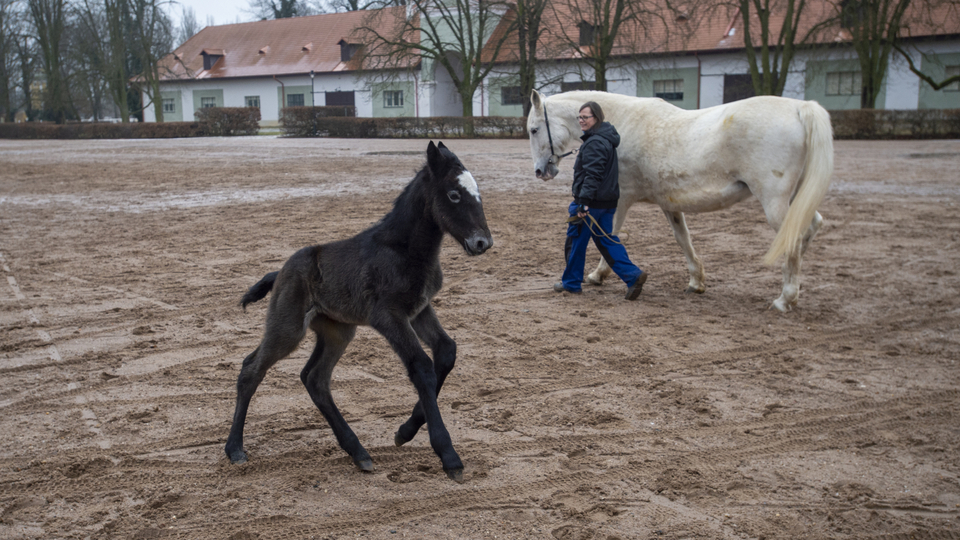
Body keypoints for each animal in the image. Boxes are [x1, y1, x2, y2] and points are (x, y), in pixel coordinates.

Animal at [223, 140, 496, 480]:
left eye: (478, 193)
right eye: (454, 194)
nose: (483, 242)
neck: (404, 250)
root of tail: (280, 271)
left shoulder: (419, 310)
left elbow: (446, 352)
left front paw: (405, 431)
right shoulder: (389, 316)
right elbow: (422, 367)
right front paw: (448, 456)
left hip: (337, 331)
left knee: (315, 379)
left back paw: (358, 452)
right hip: (288, 327)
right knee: (252, 369)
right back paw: (234, 448)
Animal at [528, 90, 836, 312]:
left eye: (533, 130)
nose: (541, 171)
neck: (622, 125)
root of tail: (800, 108)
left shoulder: (620, 200)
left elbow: (608, 235)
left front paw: (597, 275)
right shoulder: (670, 204)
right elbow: (682, 239)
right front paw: (696, 281)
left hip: (774, 202)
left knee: (794, 238)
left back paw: (785, 299)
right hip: (795, 200)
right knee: (810, 228)